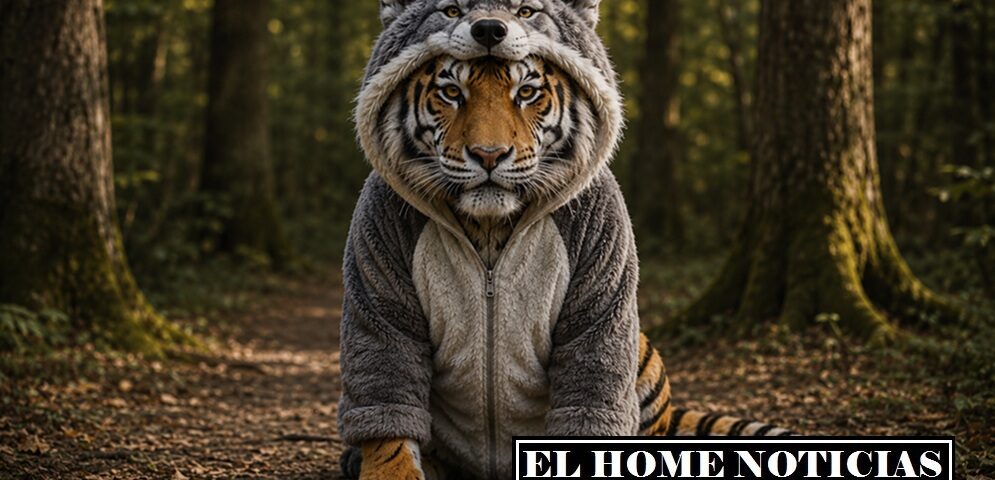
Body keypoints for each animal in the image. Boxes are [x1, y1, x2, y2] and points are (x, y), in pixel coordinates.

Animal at [343, 55, 792, 480]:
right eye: (451, 92)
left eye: (526, 93)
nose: (489, 155)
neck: (488, 228)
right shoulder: (378, 271)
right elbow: (387, 396)